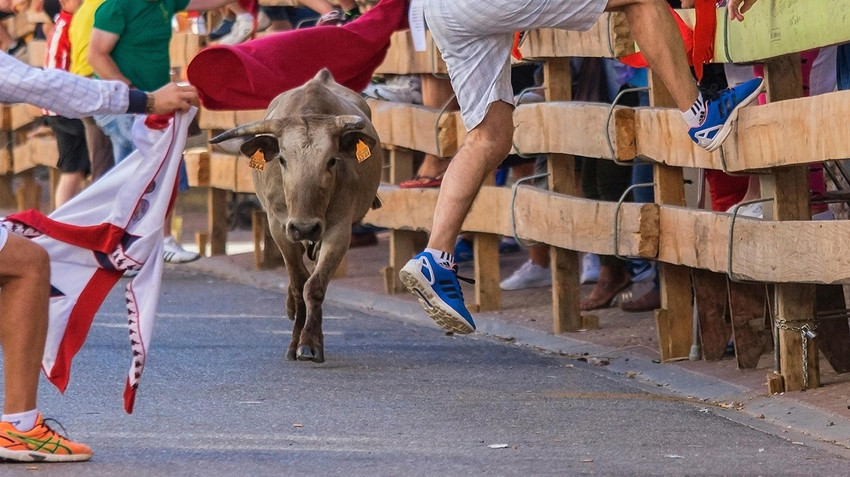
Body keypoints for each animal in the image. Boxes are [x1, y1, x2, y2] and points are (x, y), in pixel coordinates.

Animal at [209, 69, 380, 360]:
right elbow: (300, 283)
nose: (305, 228)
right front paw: (295, 340)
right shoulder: (279, 226)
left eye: (331, 160)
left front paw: (309, 342)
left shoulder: (339, 230)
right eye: (282, 160)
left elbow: (315, 285)